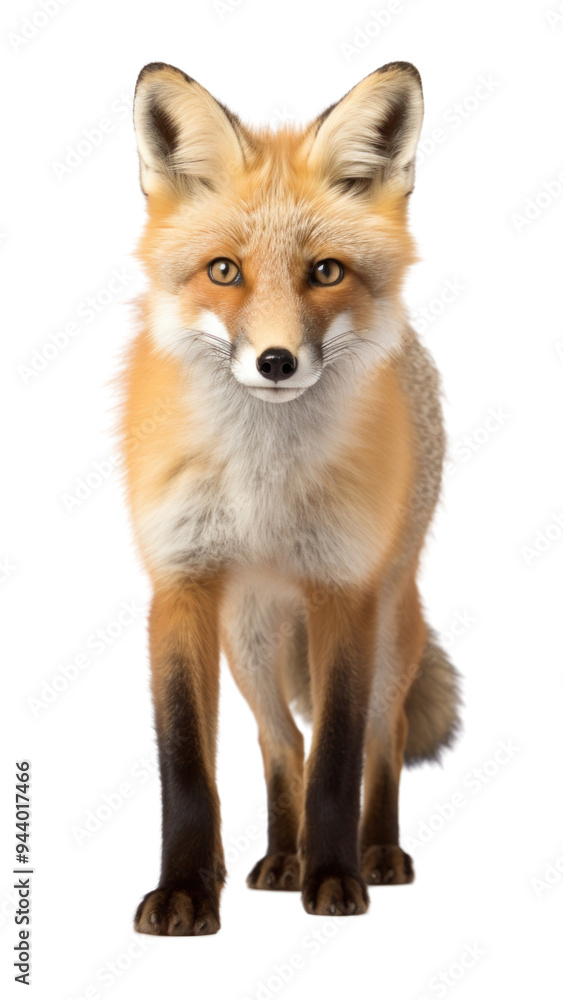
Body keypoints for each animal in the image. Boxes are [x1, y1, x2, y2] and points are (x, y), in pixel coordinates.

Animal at [122, 60, 460, 936]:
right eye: (224, 270)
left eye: (325, 271)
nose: (275, 361)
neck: (261, 482)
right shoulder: (180, 585)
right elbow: (187, 767)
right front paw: (184, 890)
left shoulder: (343, 589)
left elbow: (338, 756)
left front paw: (335, 878)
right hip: (249, 639)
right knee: (280, 745)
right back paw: (279, 858)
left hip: (389, 622)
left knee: (381, 734)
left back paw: (372, 853)